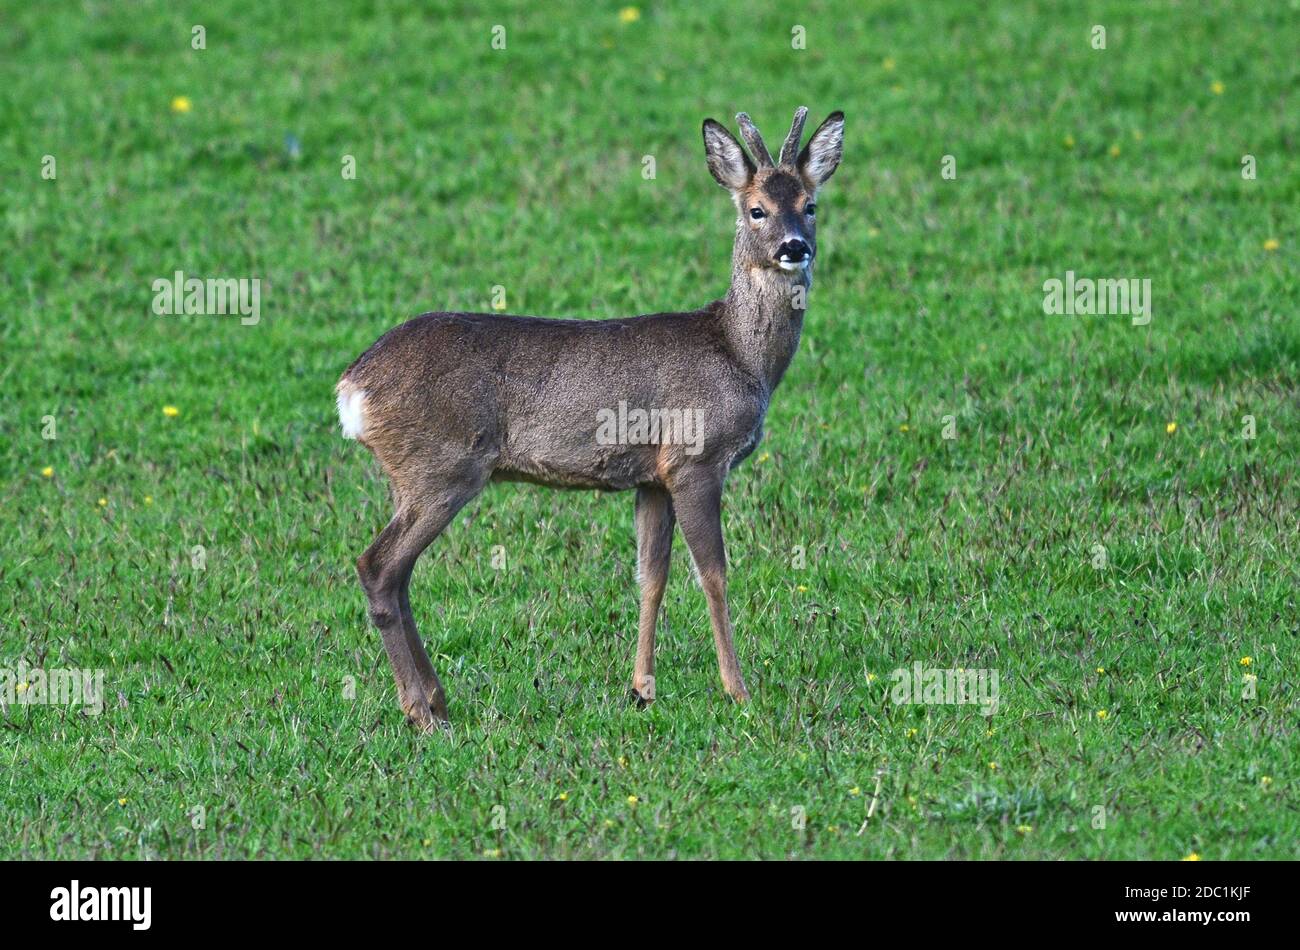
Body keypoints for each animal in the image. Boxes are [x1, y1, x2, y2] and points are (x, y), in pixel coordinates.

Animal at [335, 105, 842, 727]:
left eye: (811, 204)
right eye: (756, 209)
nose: (794, 246)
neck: (740, 354)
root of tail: (352, 386)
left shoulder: (653, 476)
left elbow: (651, 576)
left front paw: (641, 688)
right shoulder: (695, 459)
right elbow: (714, 574)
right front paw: (738, 691)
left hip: (419, 475)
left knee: (398, 573)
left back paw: (436, 699)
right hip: (441, 467)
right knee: (378, 566)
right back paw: (422, 714)